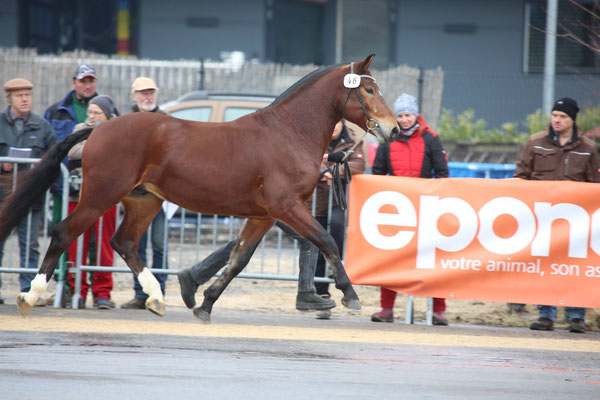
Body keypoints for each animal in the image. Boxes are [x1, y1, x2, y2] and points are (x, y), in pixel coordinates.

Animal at [0, 53, 398, 322]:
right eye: (368, 89)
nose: (393, 129)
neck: (289, 133)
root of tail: (98, 128)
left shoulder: (264, 216)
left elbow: (239, 259)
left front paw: (204, 303)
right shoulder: (287, 207)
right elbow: (327, 241)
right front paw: (350, 296)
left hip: (144, 201)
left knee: (123, 242)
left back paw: (157, 297)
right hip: (101, 196)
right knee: (64, 232)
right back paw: (30, 296)